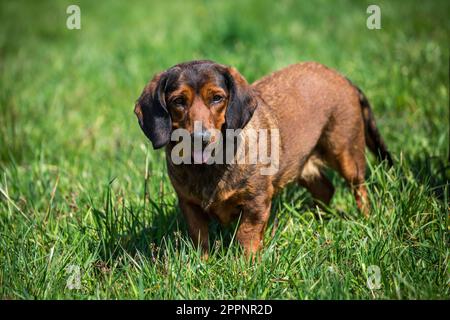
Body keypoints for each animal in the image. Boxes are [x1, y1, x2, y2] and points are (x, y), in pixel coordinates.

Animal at [133, 60, 390, 258]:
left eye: (217, 98)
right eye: (178, 101)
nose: (200, 138)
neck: (210, 168)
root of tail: (342, 77)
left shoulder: (256, 203)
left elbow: (246, 236)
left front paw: (245, 267)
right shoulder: (189, 205)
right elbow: (200, 239)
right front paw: (201, 263)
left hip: (346, 155)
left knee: (359, 189)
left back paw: (365, 219)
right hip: (302, 165)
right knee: (326, 189)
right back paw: (317, 217)